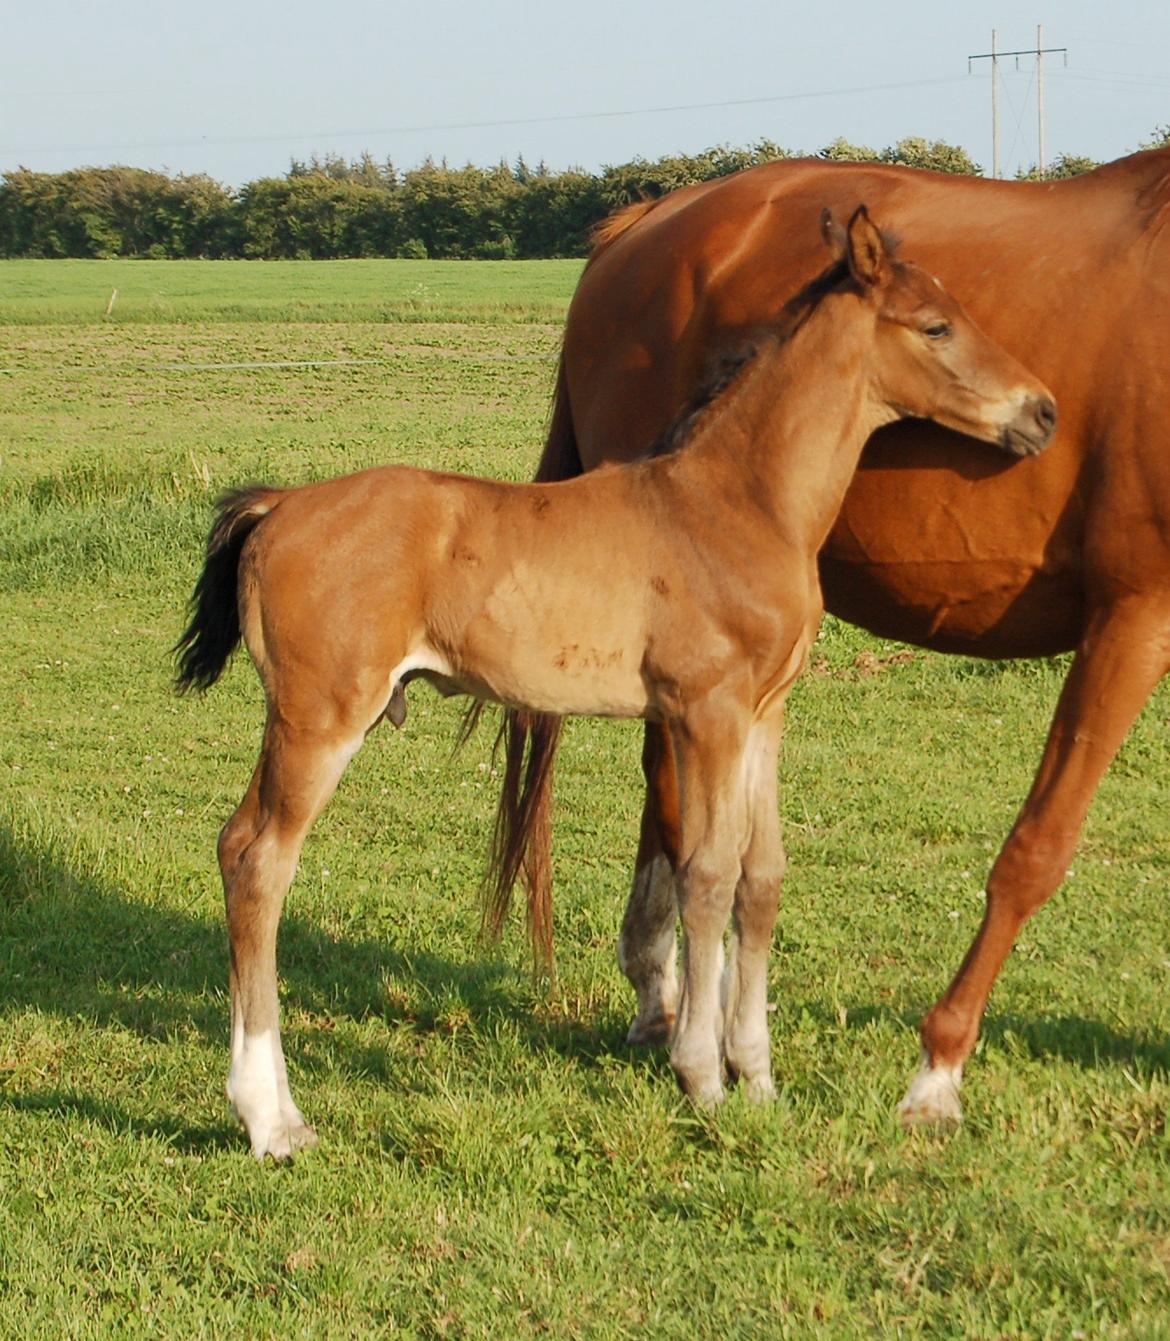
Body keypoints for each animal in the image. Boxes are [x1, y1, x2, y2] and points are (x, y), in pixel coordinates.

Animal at [175, 203, 1062, 1158]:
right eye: (936, 325)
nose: (1043, 411)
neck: (739, 503)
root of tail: (278, 505)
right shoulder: (707, 712)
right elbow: (707, 874)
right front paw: (704, 1076)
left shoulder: (766, 713)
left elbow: (762, 876)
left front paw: (759, 1076)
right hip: (320, 717)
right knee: (258, 860)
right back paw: (270, 1118)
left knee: (245, 852)